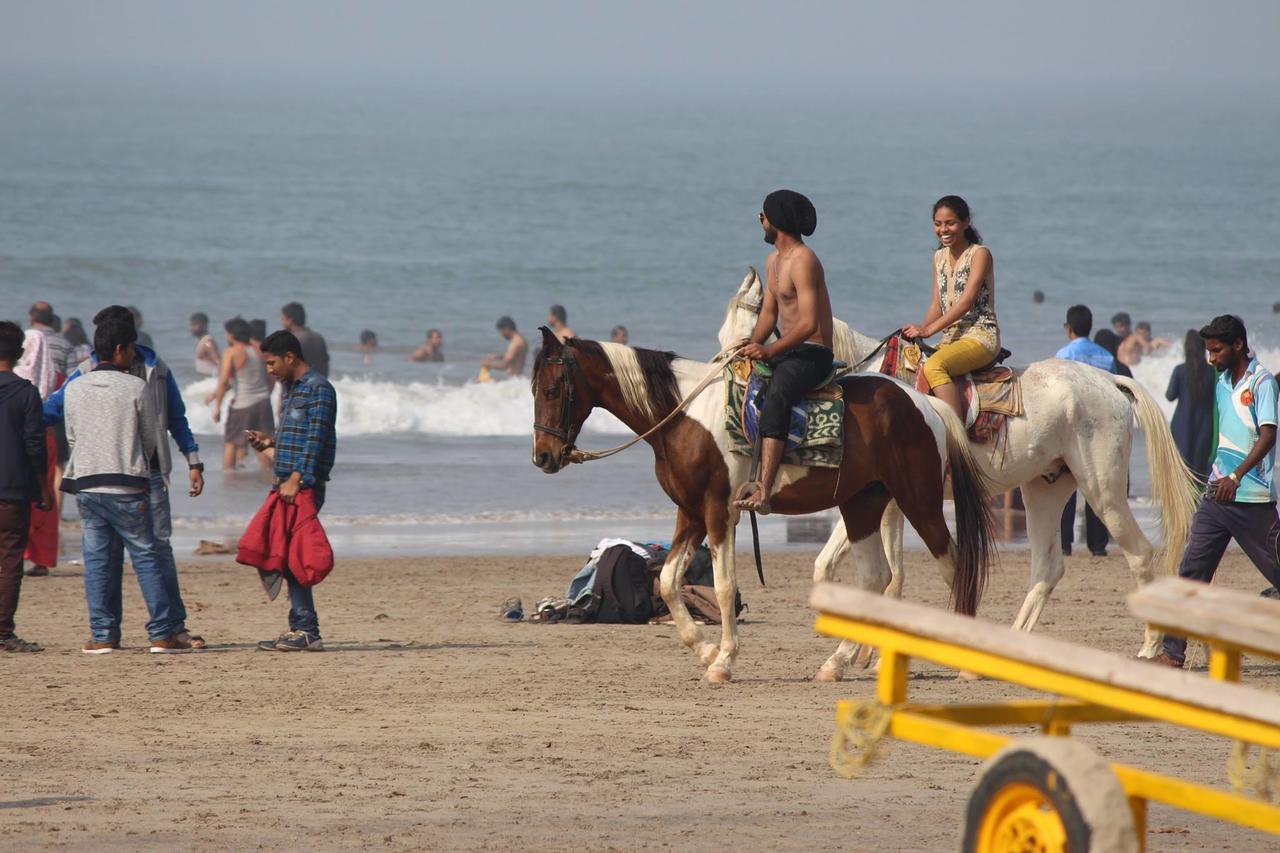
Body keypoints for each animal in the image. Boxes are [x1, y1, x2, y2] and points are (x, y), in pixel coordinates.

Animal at [529, 325, 998, 676]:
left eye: (553, 390)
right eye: (532, 389)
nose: (543, 457)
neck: (683, 417)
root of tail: (925, 403)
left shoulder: (718, 511)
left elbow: (723, 586)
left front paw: (723, 661)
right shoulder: (690, 512)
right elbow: (667, 581)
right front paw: (704, 650)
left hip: (919, 502)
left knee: (954, 565)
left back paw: (968, 661)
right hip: (862, 504)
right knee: (875, 577)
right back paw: (836, 662)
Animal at [721, 266, 1198, 676]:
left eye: (748, 334)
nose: (730, 371)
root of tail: (1109, 382)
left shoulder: (889, 500)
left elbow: (871, 575)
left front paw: (862, 652)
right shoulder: (888, 503)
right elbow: (869, 573)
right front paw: (864, 652)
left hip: (1104, 491)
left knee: (1139, 554)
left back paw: (1148, 648)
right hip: (1045, 488)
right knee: (1048, 568)